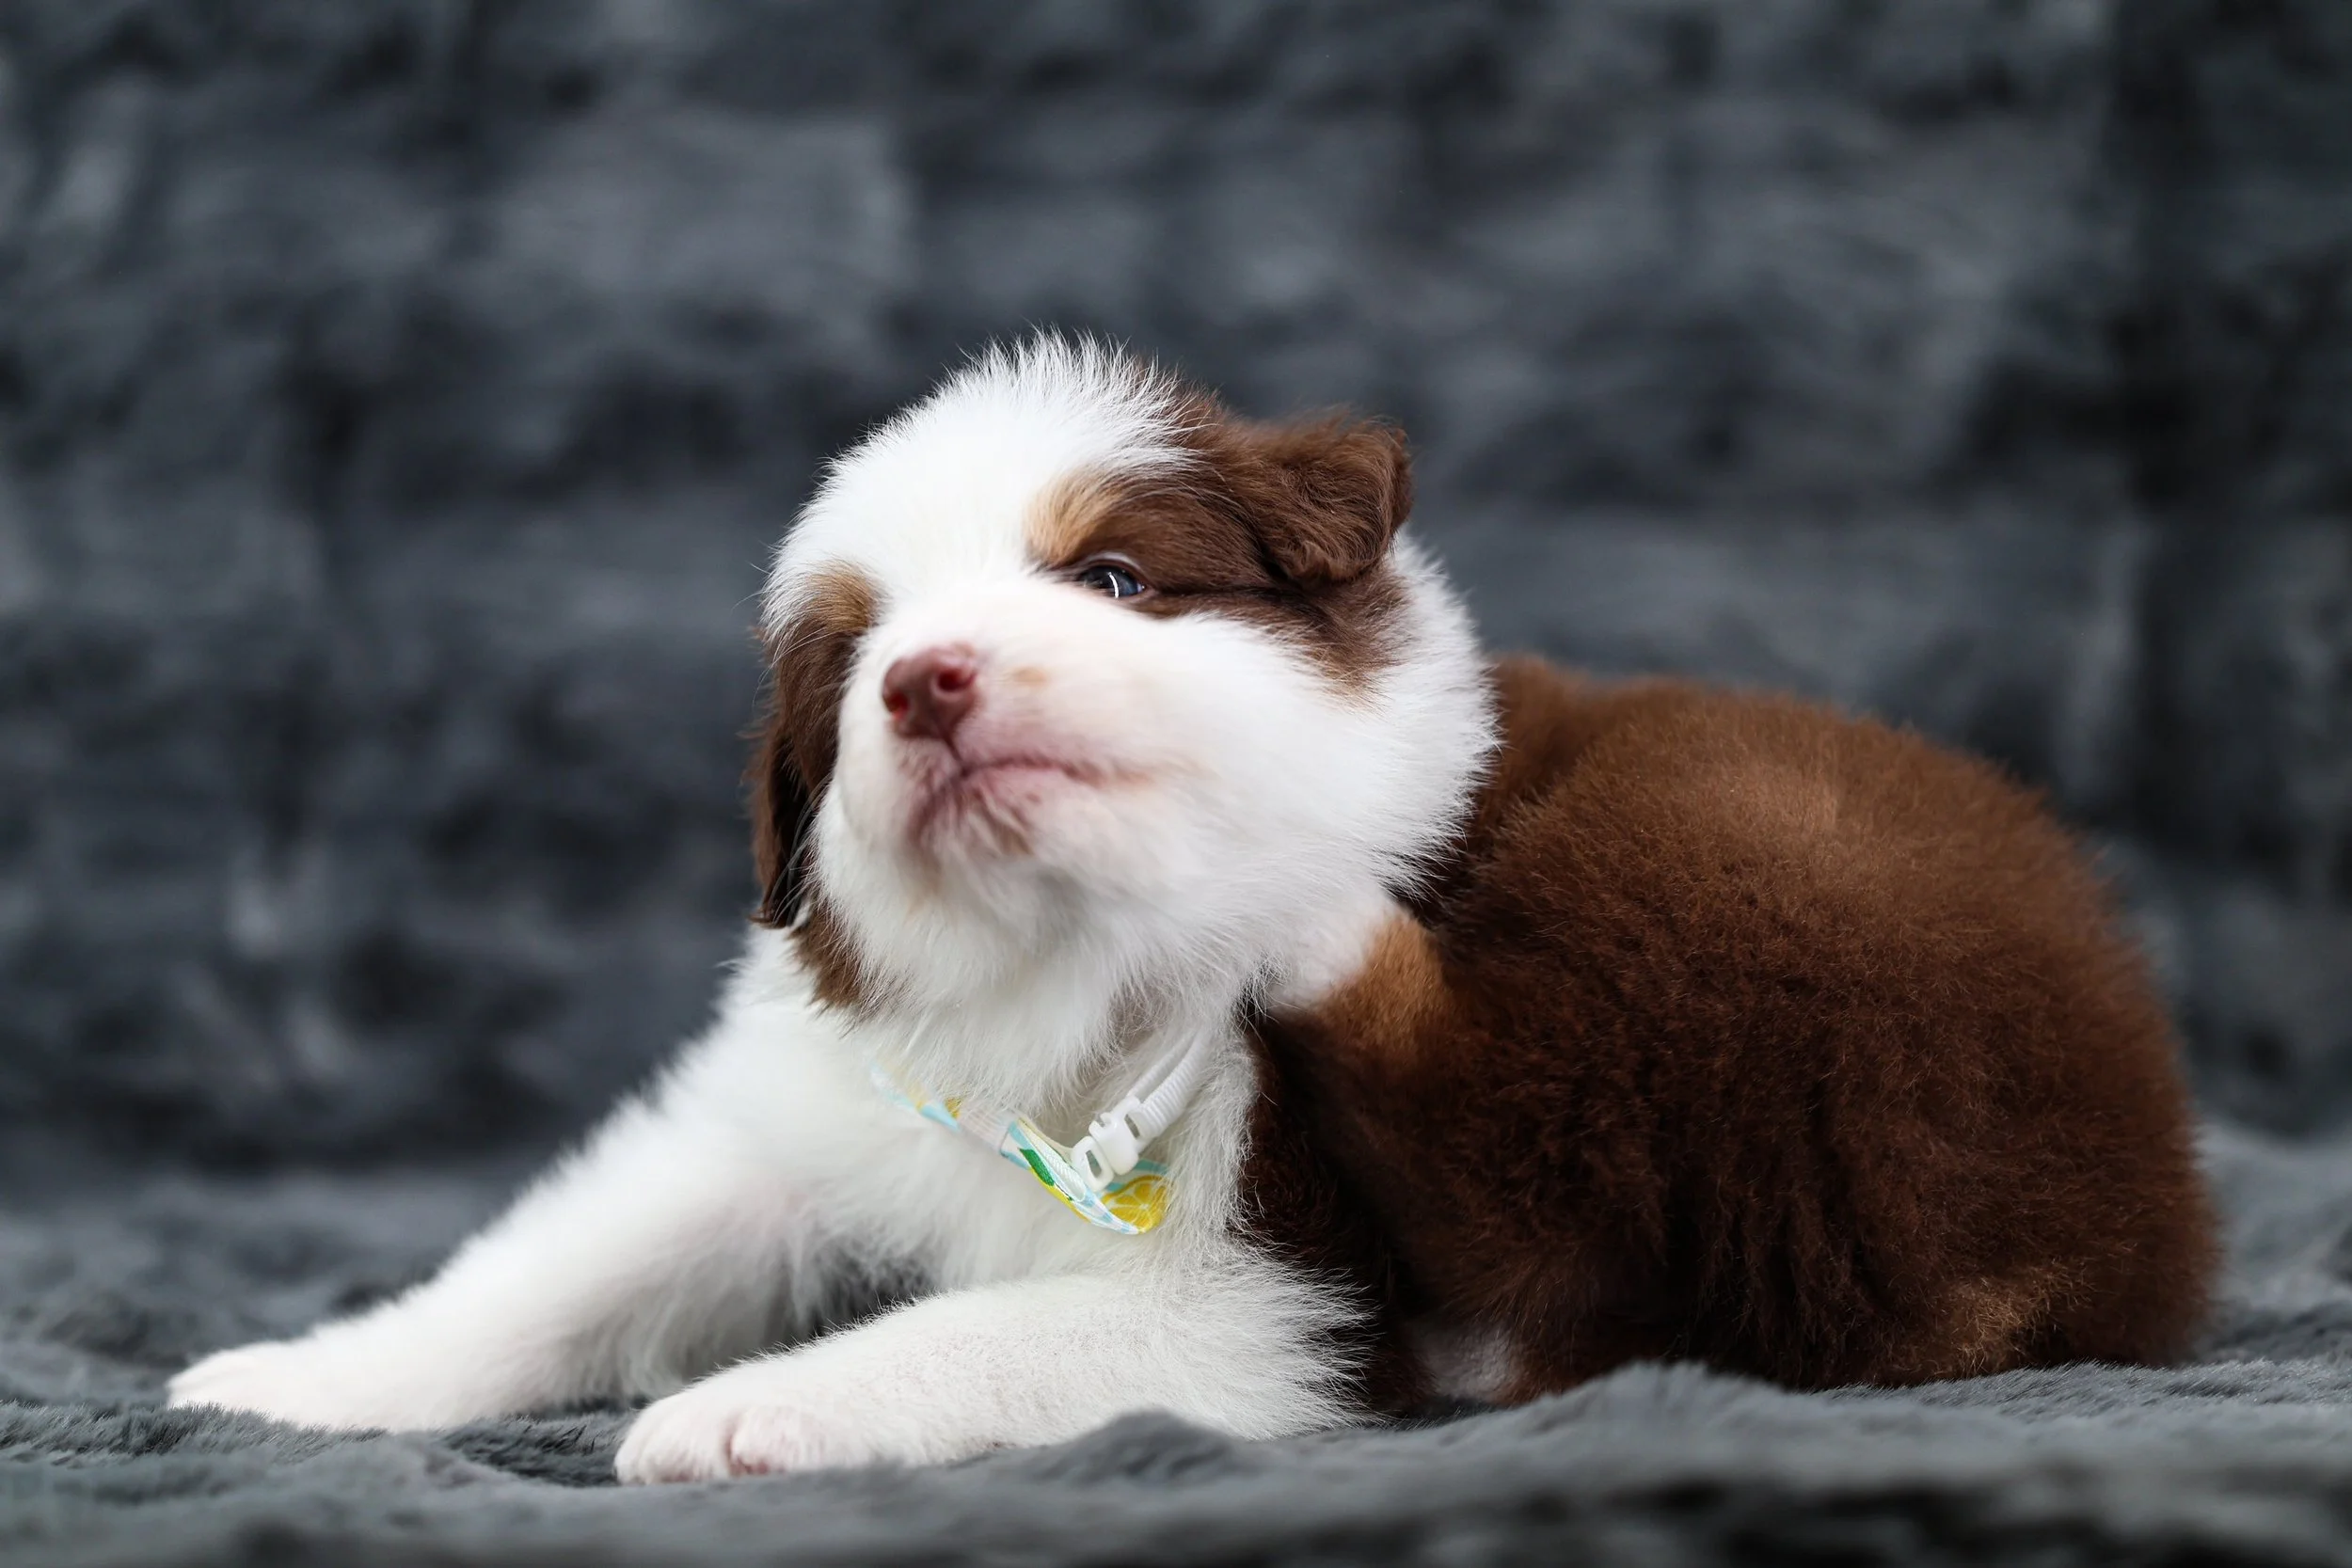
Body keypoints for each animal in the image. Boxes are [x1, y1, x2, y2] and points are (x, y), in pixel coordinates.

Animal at [170, 337, 2215, 1480]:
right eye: (850, 670)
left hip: (1738, 864)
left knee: (1536, 1158)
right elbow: (569, 1254)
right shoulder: (805, 1107)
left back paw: (1313, 922)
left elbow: (992, 1327)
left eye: (1117, 576)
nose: (930, 680)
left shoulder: (1270, 1292)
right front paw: (289, 1376)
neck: (1064, 975)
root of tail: (2139, 1209)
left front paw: (732, 1415)